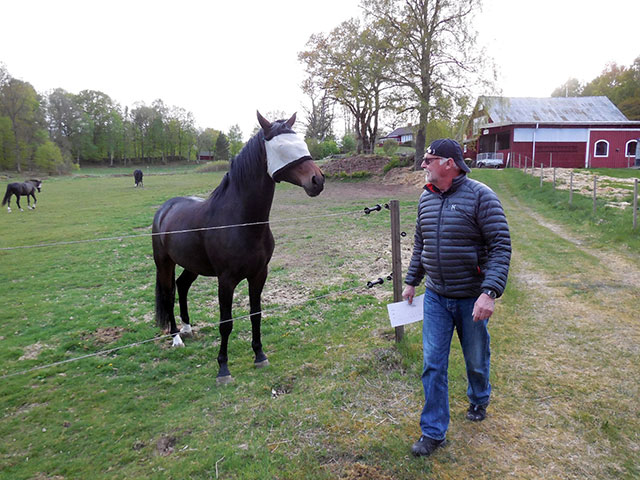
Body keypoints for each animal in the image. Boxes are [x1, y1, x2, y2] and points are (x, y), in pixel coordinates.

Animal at [151, 111, 324, 382]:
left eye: (302, 143)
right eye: (281, 147)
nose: (317, 180)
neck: (242, 220)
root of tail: (165, 208)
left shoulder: (259, 274)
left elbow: (256, 314)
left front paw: (260, 355)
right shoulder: (226, 280)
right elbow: (226, 322)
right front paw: (223, 368)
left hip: (192, 265)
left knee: (182, 285)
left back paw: (188, 328)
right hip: (164, 263)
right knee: (169, 293)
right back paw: (176, 337)